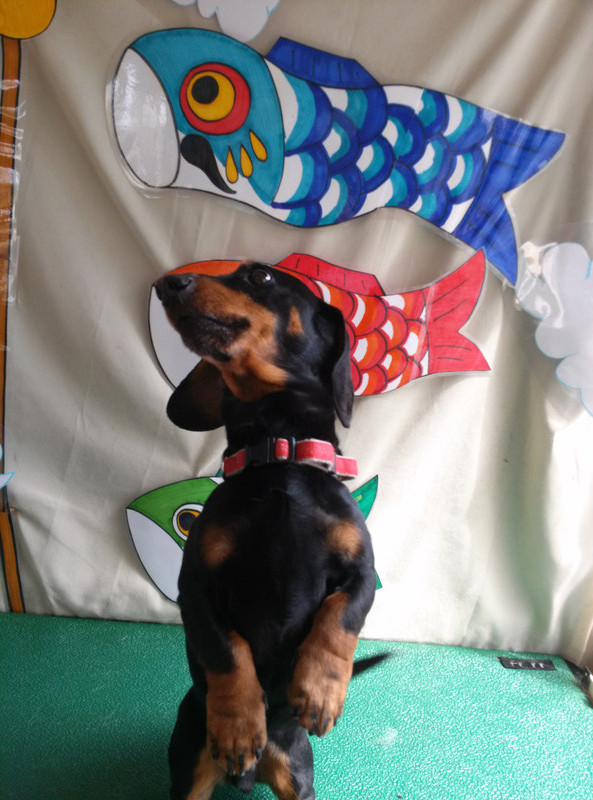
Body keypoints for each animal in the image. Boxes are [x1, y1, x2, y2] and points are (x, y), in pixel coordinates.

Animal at [155, 261, 376, 800]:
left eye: (261, 277)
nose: (166, 284)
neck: (280, 449)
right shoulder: (196, 586)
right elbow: (228, 651)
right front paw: (237, 725)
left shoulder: (364, 572)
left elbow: (341, 617)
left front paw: (319, 691)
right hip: (189, 764)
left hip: (298, 775)